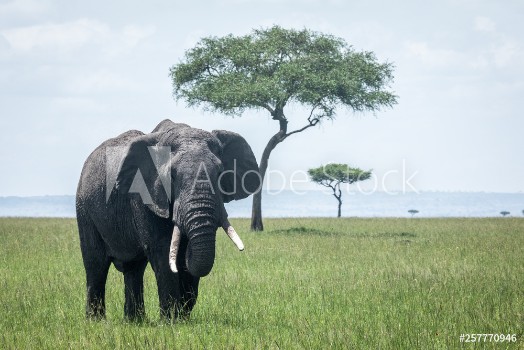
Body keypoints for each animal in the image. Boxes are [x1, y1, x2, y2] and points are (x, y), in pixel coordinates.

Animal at [75, 119, 260, 320]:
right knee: (95, 264)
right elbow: (162, 251)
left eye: (220, 173)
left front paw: (183, 318)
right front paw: (171, 321)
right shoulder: (144, 197)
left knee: (134, 268)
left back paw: (134, 321)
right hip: (84, 207)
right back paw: (96, 321)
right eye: (172, 176)